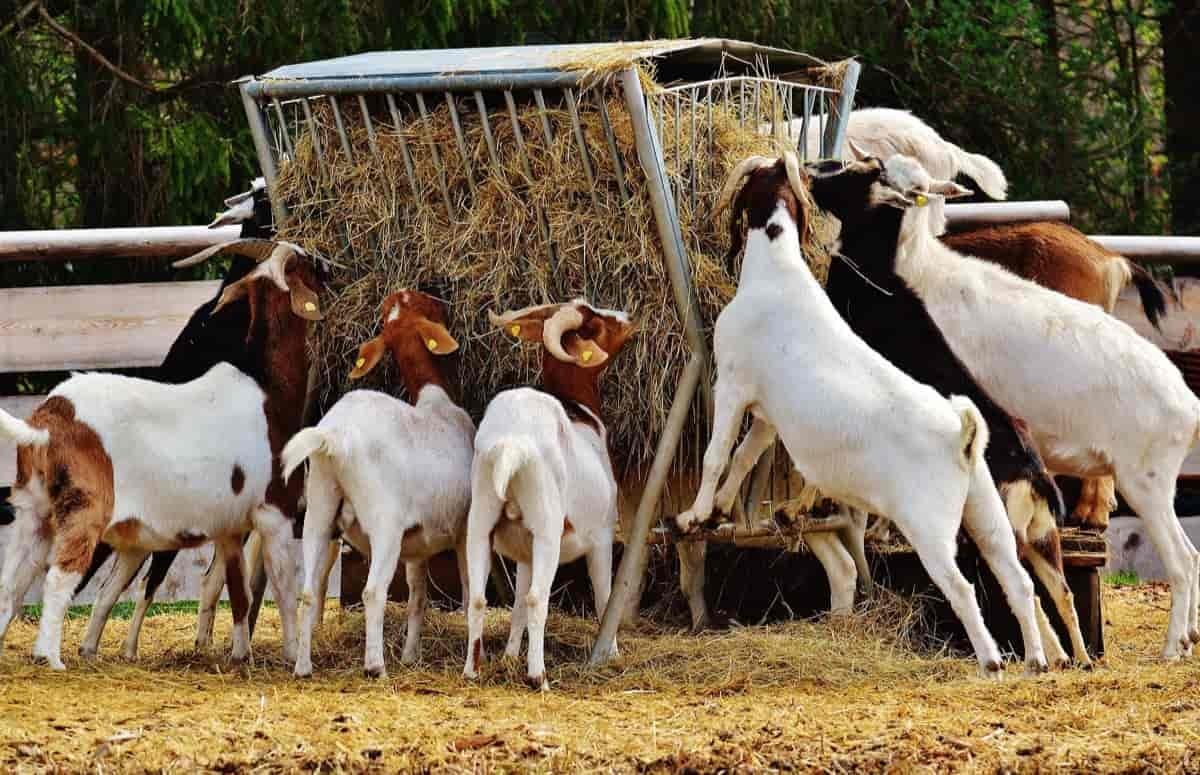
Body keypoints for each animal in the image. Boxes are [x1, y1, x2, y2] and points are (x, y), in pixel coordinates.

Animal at [283, 290, 474, 678]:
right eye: (427, 306)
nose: (442, 301)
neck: (436, 400)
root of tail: (334, 437)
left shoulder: (417, 539)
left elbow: (417, 594)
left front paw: (411, 654)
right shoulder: (463, 526)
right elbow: (465, 587)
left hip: (319, 507)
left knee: (308, 591)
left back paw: (303, 667)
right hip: (384, 523)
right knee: (372, 591)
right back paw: (375, 666)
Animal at [462, 300, 634, 689]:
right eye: (595, 325)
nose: (628, 318)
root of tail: (511, 442)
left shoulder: (524, 553)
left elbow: (515, 609)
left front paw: (509, 656)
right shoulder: (601, 538)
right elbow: (605, 598)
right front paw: (611, 654)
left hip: (481, 522)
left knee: (480, 599)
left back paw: (471, 671)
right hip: (547, 530)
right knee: (538, 599)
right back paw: (537, 676)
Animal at [676, 153, 1047, 677]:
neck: (778, 270)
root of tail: (962, 434)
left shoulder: (731, 385)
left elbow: (716, 454)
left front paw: (696, 514)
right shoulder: (769, 412)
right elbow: (746, 455)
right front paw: (726, 508)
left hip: (930, 526)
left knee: (962, 587)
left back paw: (992, 661)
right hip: (986, 510)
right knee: (1018, 580)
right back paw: (1036, 660)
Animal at [797, 158, 1089, 667]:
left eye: (860, 174)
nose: (814, 175)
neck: (877, 279)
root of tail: (1035, 476)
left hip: (995, 527)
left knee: (1025, 591)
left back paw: (1043, 657)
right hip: (1039, 535)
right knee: (1059, 590)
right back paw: (1077, 659)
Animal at [871, 153, 1200, 659]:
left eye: (913, 184)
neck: (926, 272)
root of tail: (1190, 406)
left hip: (1145, 479)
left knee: (1182, 560)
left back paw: (1171, 648)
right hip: (1156, 484)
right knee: (1194, 556)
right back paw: (1189, 637)